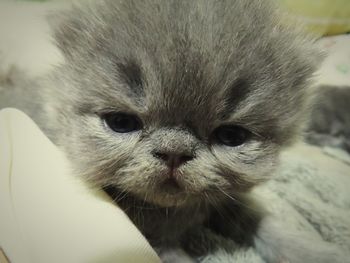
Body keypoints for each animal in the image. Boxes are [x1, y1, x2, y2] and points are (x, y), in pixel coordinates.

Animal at [1, 0, 348, 262]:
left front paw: (314, 252)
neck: (169, 214)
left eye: (231, 136)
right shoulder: (152, 239)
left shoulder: (223, 199)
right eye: (121, 122)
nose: (174, 152)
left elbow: (262, 219)